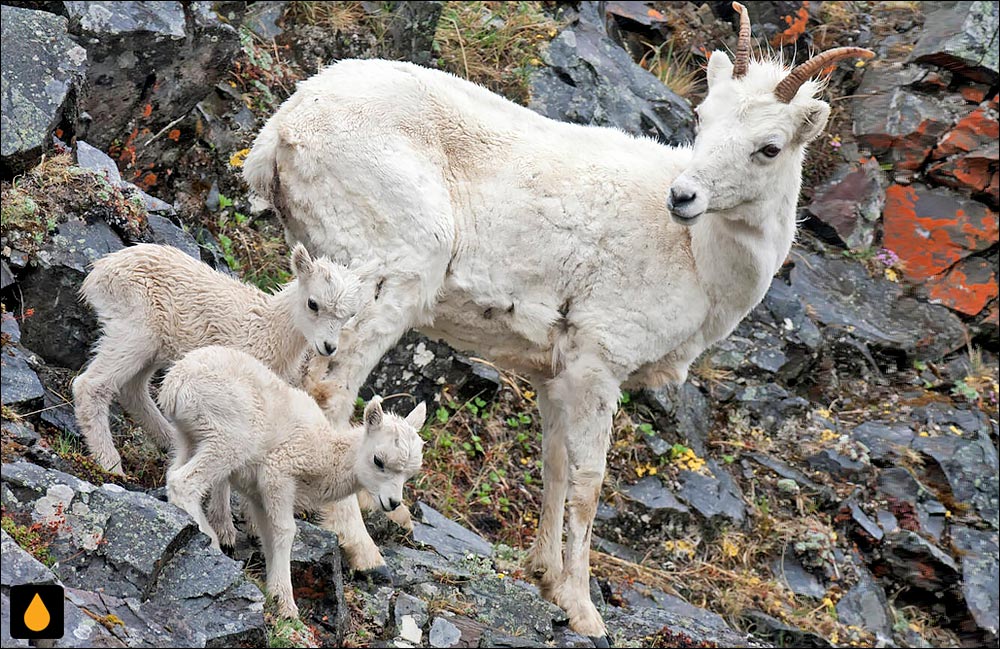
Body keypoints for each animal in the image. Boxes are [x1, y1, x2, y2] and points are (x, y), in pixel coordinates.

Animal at [158, 344, 424, 616]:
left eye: (409, 473)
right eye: (378, 461)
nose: (392, 502)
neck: (329, 456)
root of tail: (176, 382)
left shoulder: (258, 495)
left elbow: (268, 536)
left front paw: (275, 593)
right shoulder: (278, 474)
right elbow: (285, 531)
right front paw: (287, 604)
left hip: (189, 437)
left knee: (173, 474)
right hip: (228, 440)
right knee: (183, 482)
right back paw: (211, 538)